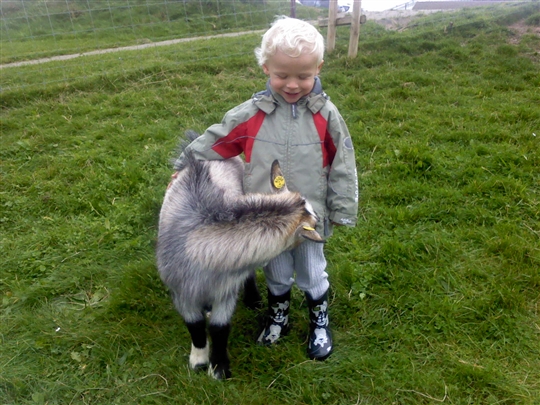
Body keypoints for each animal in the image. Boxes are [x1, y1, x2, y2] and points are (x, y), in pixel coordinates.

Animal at [156, 140, 323, 380]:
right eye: (312, 220)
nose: (320, 219)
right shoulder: (181, 290)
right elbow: (194, 324)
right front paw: (198, 361)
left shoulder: (226, 289)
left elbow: (219, 328)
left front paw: (218, 369)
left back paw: (253, 300)